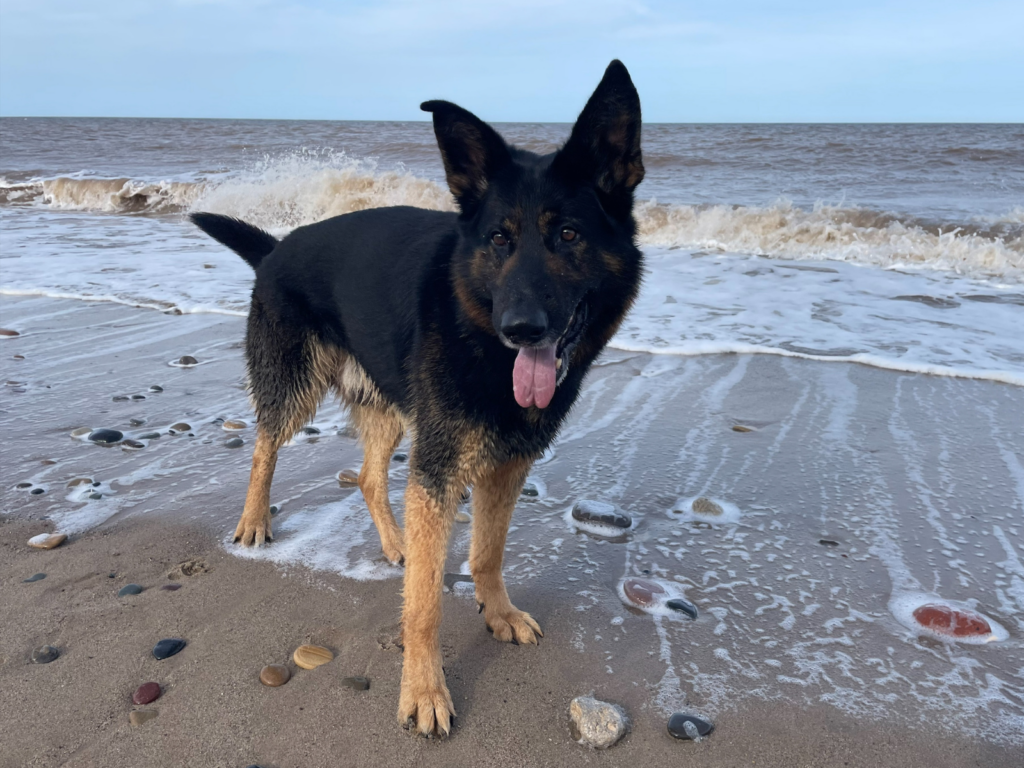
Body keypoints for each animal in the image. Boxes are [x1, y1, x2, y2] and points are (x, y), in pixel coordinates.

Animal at [189, 61, 643, 741]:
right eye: (499, 239)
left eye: (568, 234)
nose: (521, 330)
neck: (479, 335)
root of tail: (276, 248)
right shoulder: (440, 470)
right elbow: (425, 604)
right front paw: (425, 690)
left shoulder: (504, 465)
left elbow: (487, 552)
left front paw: (497, 611)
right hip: (297, 385)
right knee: (265, 444)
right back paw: (253, 520)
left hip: (392, 413)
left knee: (370, 478)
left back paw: (397, 542)